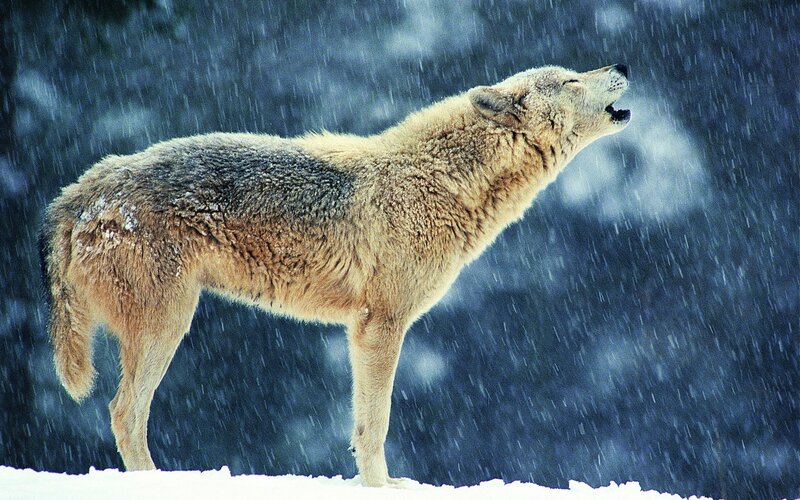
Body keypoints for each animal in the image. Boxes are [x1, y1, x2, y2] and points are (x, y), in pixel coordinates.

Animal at [40, 64, 631, 486]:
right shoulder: (380, 326)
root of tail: (82, 191)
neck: (441, 181)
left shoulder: (362, 329)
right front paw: (381, 487)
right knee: (124, 413)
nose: (622, 63)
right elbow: (375, 424)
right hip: (168, 325)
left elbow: (363, 424)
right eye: (573, 78)